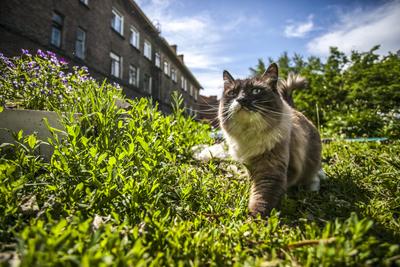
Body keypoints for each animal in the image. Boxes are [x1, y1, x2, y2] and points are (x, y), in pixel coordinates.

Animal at [219, 63, 322, 219]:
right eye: (233, 93)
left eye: (256, 91)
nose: (241, 99)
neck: (249, 134)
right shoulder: (249, 166)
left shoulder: (270, 172)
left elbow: (262, 199)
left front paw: (252, 220)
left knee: (315, 177)